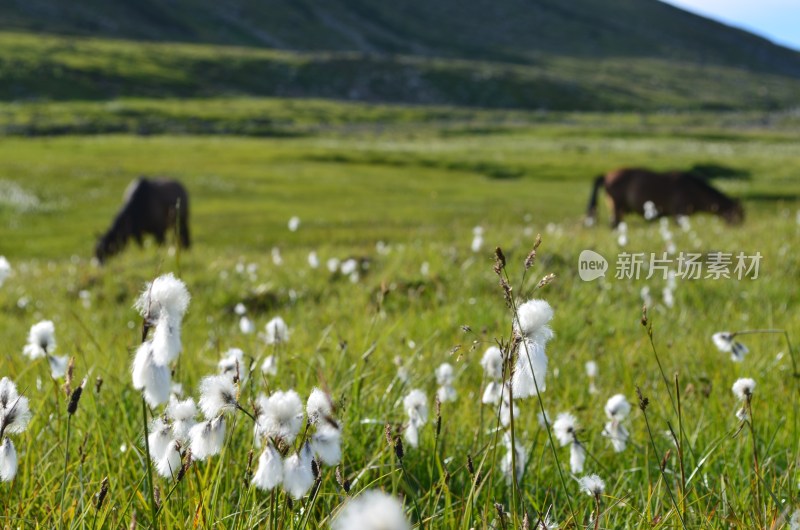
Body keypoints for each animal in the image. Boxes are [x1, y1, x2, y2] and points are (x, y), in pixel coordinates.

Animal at [584, 169, 748, 227]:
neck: (694, 190)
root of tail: (607, 175)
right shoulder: (679, 213)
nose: (739, 228)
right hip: (616, 206)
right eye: (739, 214)